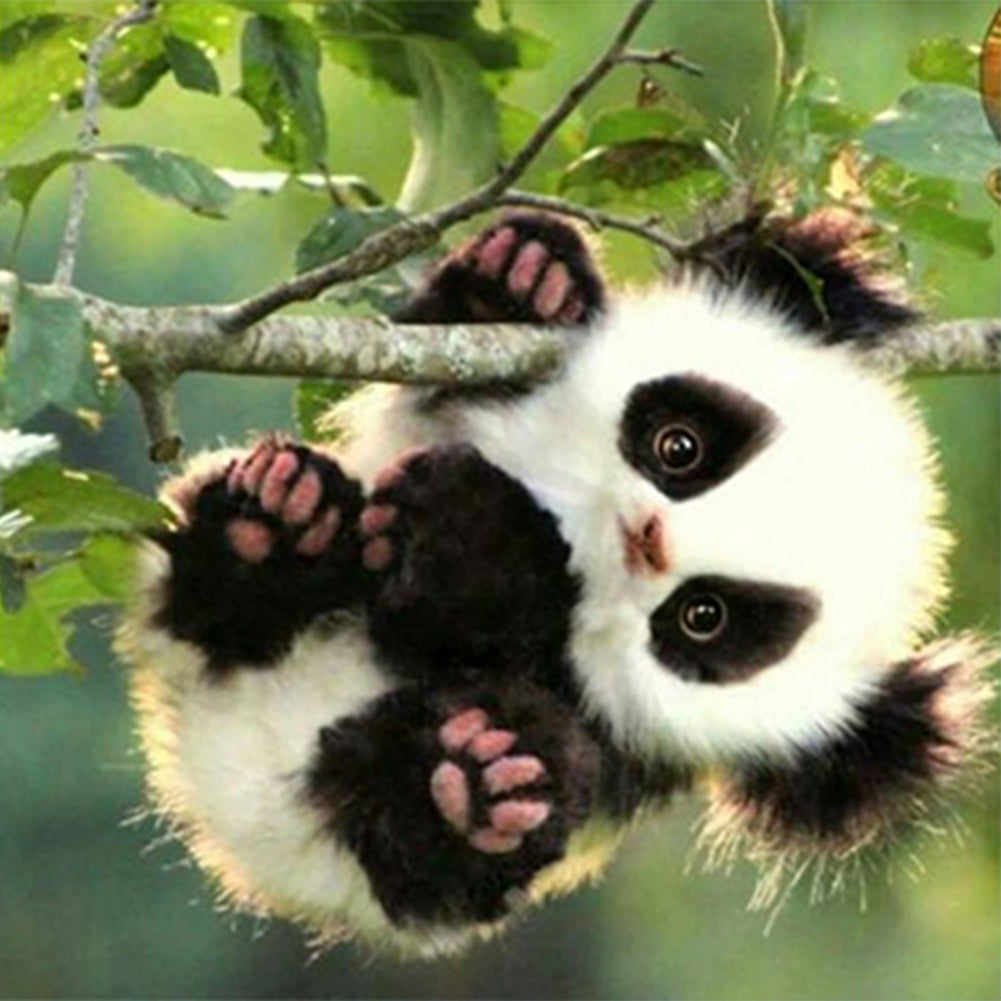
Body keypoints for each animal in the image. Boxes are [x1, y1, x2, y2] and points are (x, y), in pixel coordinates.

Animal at [118, 209, 995, 958]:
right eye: (680, 447)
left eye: (702, 615)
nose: (646, 534)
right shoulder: (428, 419)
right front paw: (525, 277)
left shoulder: (616, 738)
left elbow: (502, 635)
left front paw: (474, 537)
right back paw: (272, 526)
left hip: (383, 847)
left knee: (445, 817)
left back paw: (479, 784)